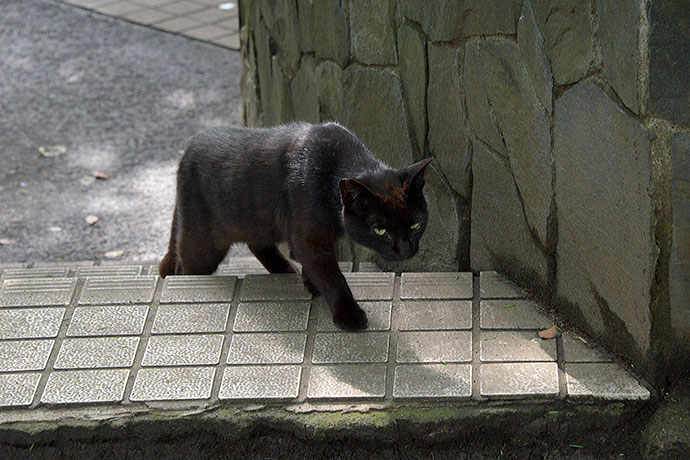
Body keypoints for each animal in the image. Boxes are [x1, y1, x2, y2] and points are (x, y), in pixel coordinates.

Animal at [161, 122, 430, 328]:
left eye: (415, 224)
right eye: (380, 229)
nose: (405, 250)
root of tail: (187, 150)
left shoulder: (315, 237)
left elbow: (317, 267)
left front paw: (311, 284)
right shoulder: (309, 236)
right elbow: (331, 275)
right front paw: (348, 315)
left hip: (257, 221)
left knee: (258, 244)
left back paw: (284, 269)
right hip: (202, 244)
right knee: (184, 266)